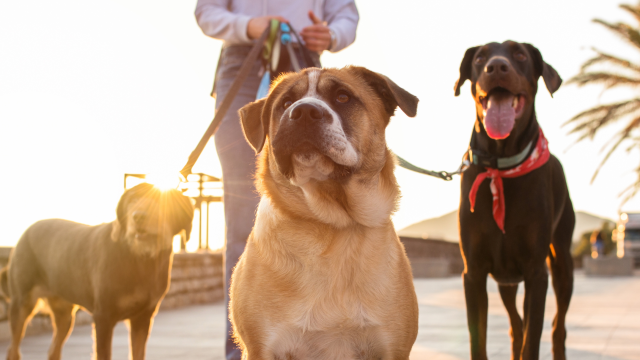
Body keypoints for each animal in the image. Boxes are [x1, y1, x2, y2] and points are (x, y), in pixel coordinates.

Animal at [1, 184, 194, 360]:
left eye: (162, 201)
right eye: (133, 199)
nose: (138, 216)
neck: (139, 258)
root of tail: (26, 231)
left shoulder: (143, 318)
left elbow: (138, 353)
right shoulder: (103, 317)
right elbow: (104, 353)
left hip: (64, 314)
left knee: (53, 349)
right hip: (22, 303)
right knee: (13, 349)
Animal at [230, 67, 420, 360]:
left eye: (343, 97)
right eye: (285, 103)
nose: (304, 111)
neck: (332, 224)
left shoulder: (393, 348)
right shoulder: (260, 349)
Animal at [456, 40, 576, 358]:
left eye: (520, 54)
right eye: (480, 57)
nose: (496, 67)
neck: (501, 167)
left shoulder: (536, 273)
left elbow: (532, 340)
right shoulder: (474, 272)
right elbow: (478, 340)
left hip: (562, 263)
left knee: (557, 326)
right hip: (505, 278)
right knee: (515, 324)